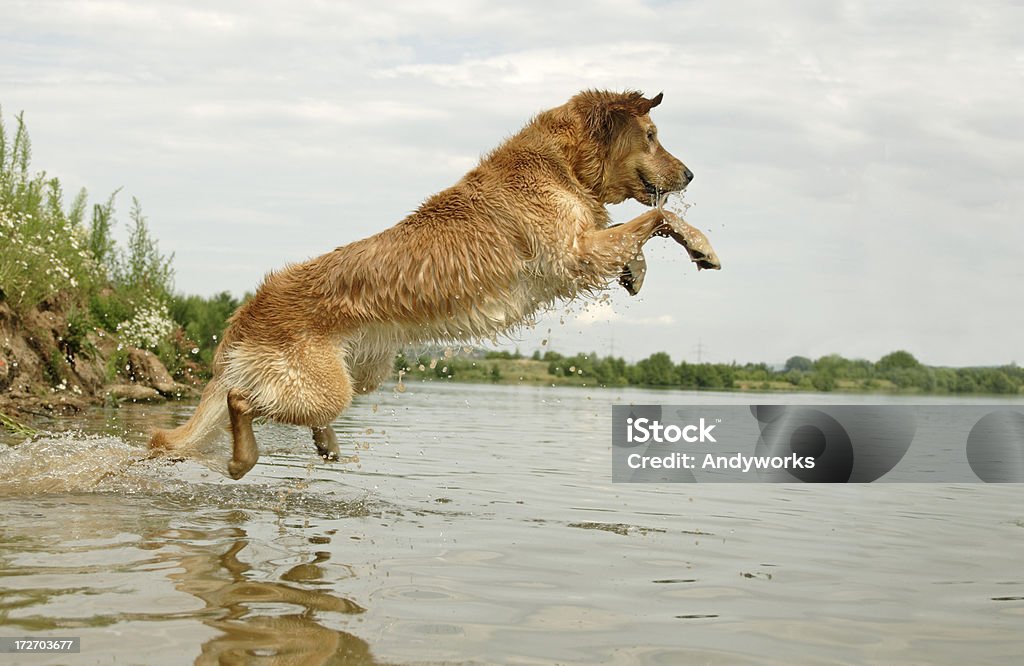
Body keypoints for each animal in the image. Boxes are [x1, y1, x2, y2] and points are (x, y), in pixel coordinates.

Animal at [151, 89, 720, 477]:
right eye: (652, 136)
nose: (692, 175)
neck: (563, 165)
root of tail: (247, 309)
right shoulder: (572, 254)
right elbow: (656, 219)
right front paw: (702, 246)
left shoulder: (585, 245)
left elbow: (641, 229)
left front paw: (637, 271)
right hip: (323, 386)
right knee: (241, 402)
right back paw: (243, 458)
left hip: (362, 373)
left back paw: (324, 445)